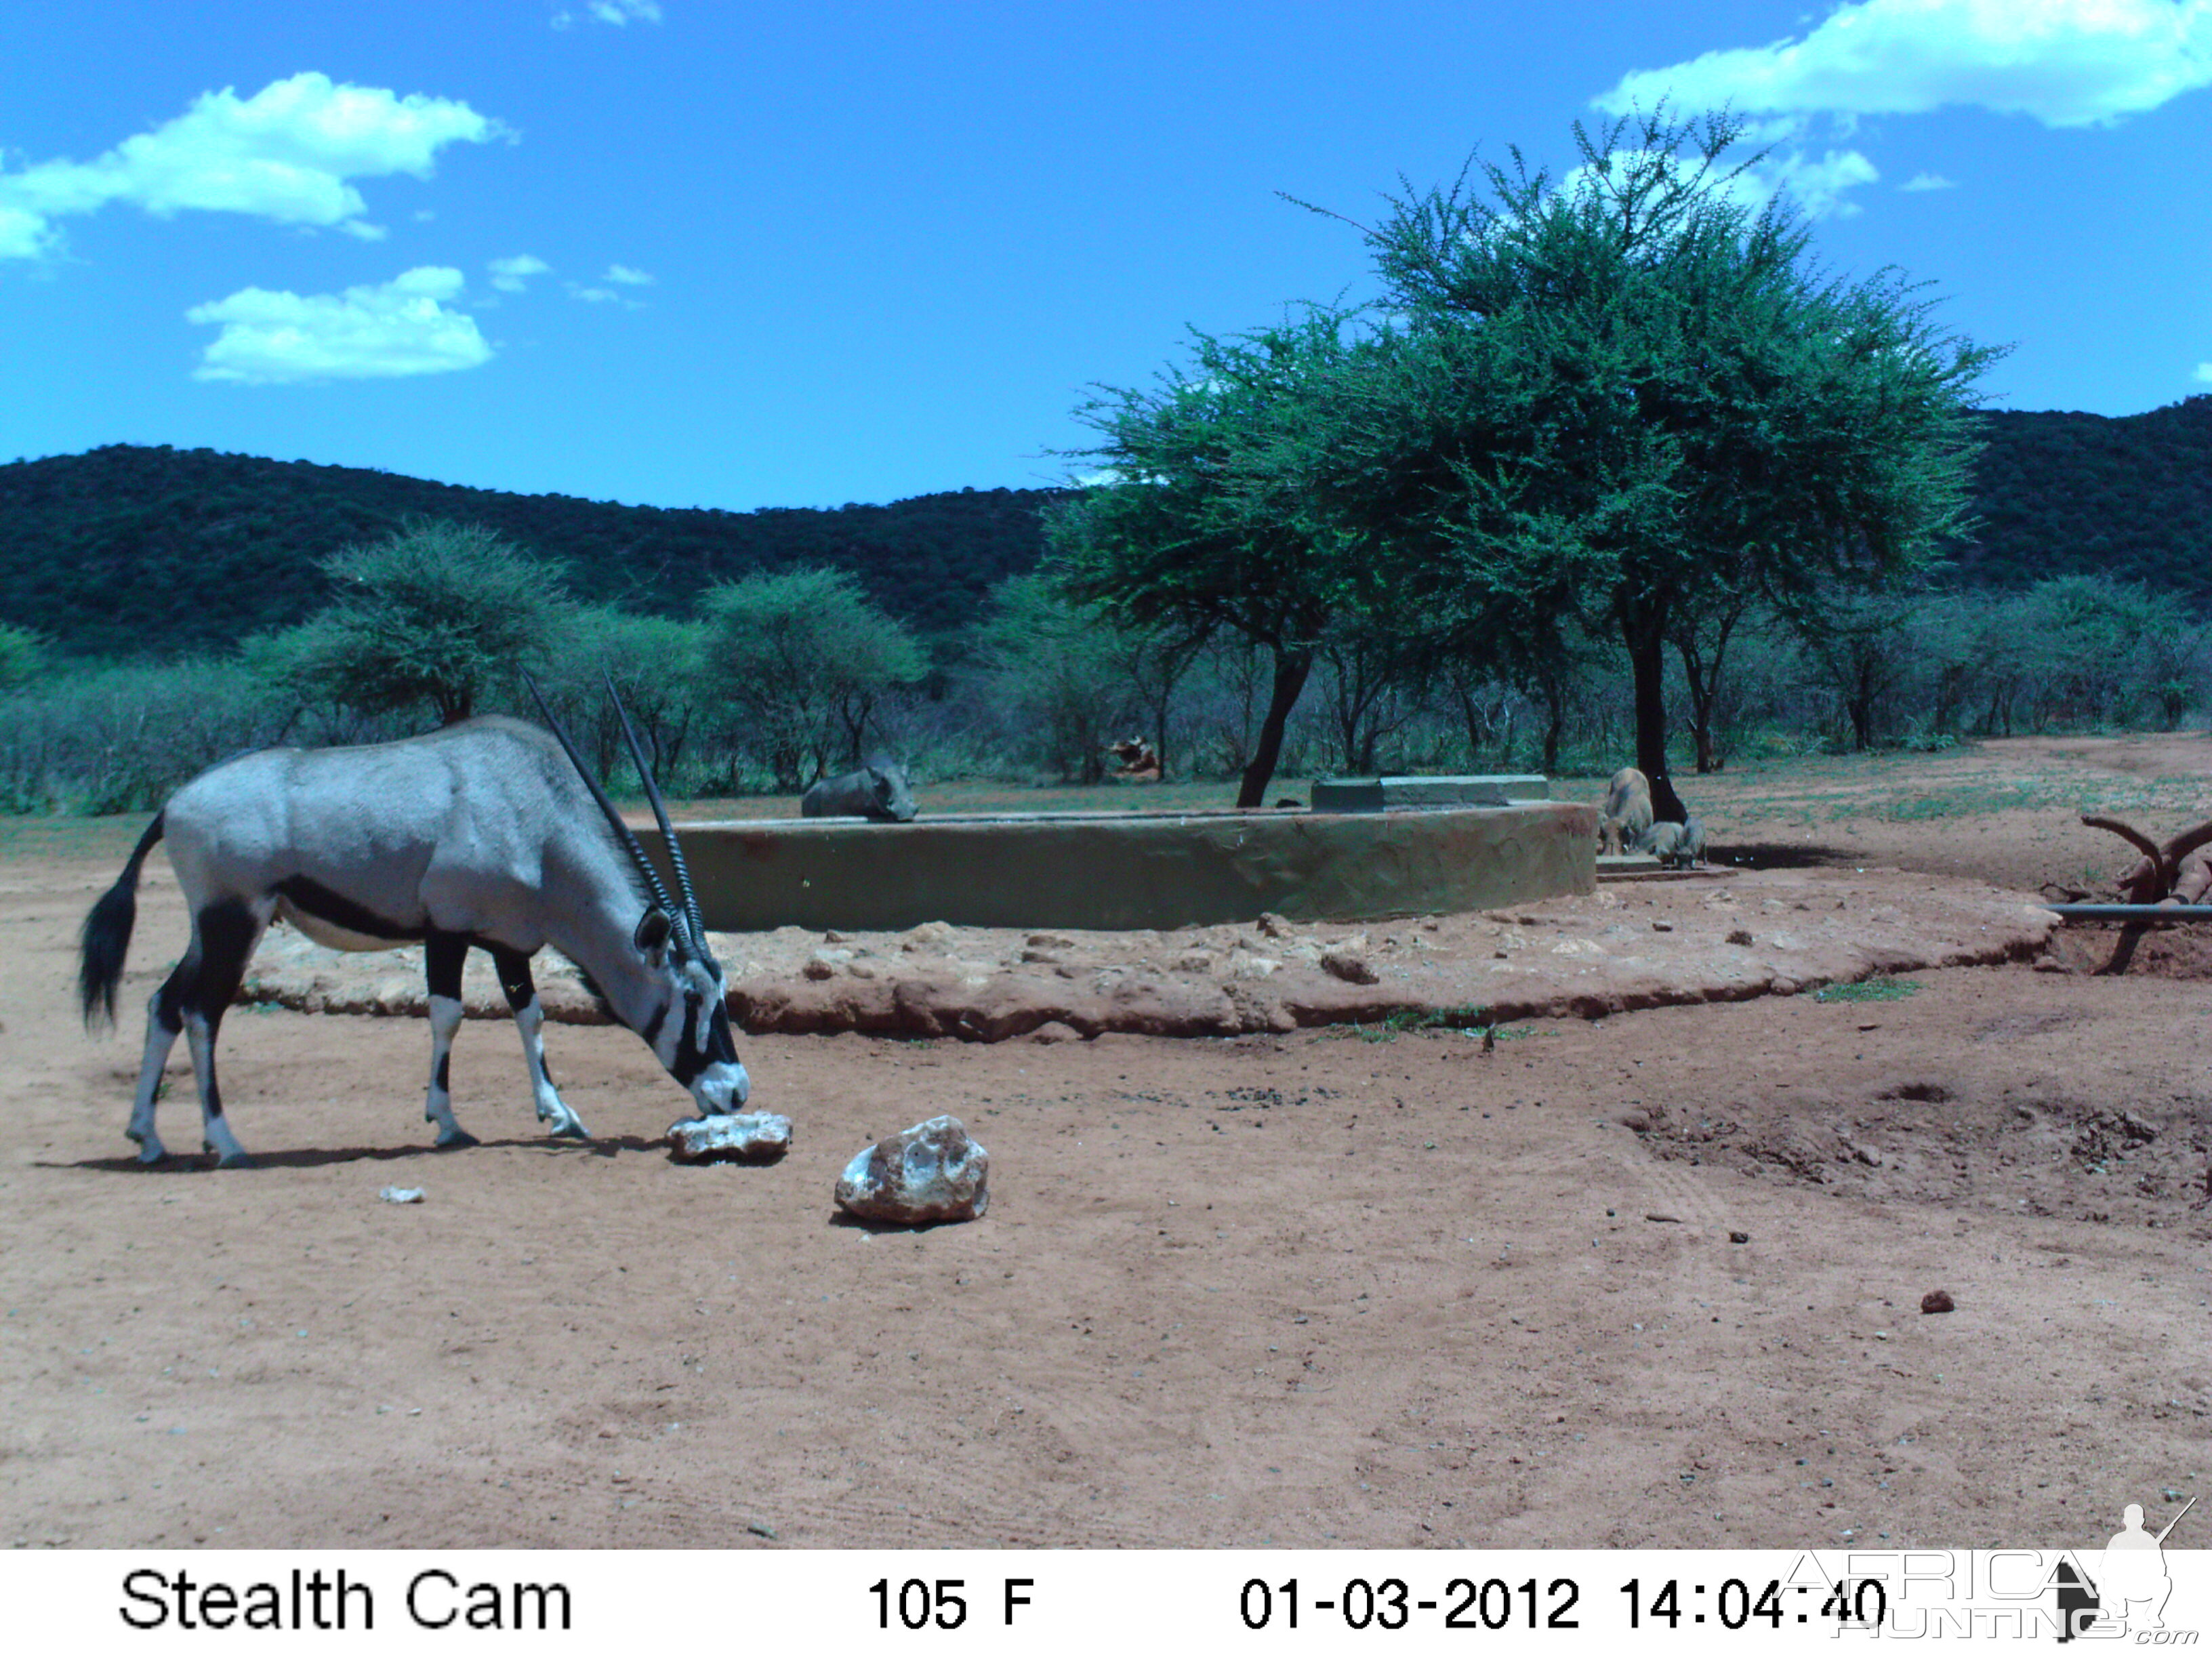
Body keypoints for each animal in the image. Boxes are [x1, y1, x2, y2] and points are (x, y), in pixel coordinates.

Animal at [78, 681, 752, 1176]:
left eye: (722, 994)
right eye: (690, 997)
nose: (736, 1094)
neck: (536, 815)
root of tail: (173, 804)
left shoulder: (509, 942)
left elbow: (530, 1017)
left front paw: (560, 1114)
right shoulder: (446, 931)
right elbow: (448, 1015)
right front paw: (447, 1123)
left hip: (211, 928)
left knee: (164, 1003)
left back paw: (147, 1137)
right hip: (235, 922)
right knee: (202, 1012)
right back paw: (226, 1142)